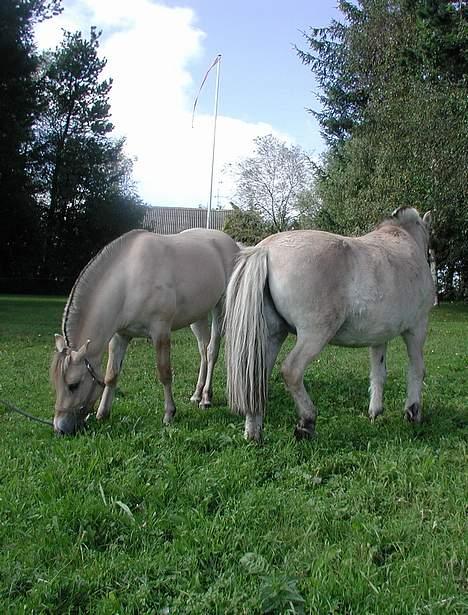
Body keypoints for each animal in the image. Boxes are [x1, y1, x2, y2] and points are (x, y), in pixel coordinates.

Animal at [52, 229, 238, 436]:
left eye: (73, 385)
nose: (60, 428)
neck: (128, 281)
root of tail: (231, 243)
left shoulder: (160, 332)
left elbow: (164, 373)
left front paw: (169, 414)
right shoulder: (120, 336)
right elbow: (111, 375)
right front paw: (102, 413)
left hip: (220, 308)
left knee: (212, 351)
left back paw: (206, 398)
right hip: (197, 316)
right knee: (203, 351)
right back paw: (197, 395)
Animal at [225, 209, 434, 440]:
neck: (403, 241)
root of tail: (265, 249)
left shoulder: (379, 337)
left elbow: (379, 373)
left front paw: (375, 412)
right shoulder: (417, 328)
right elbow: (417, 370)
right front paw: (413, 412)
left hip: (272, 336)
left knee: (256, 379)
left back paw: (254, 433)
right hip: (314, 335)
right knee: (291, 371)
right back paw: (306, 421)